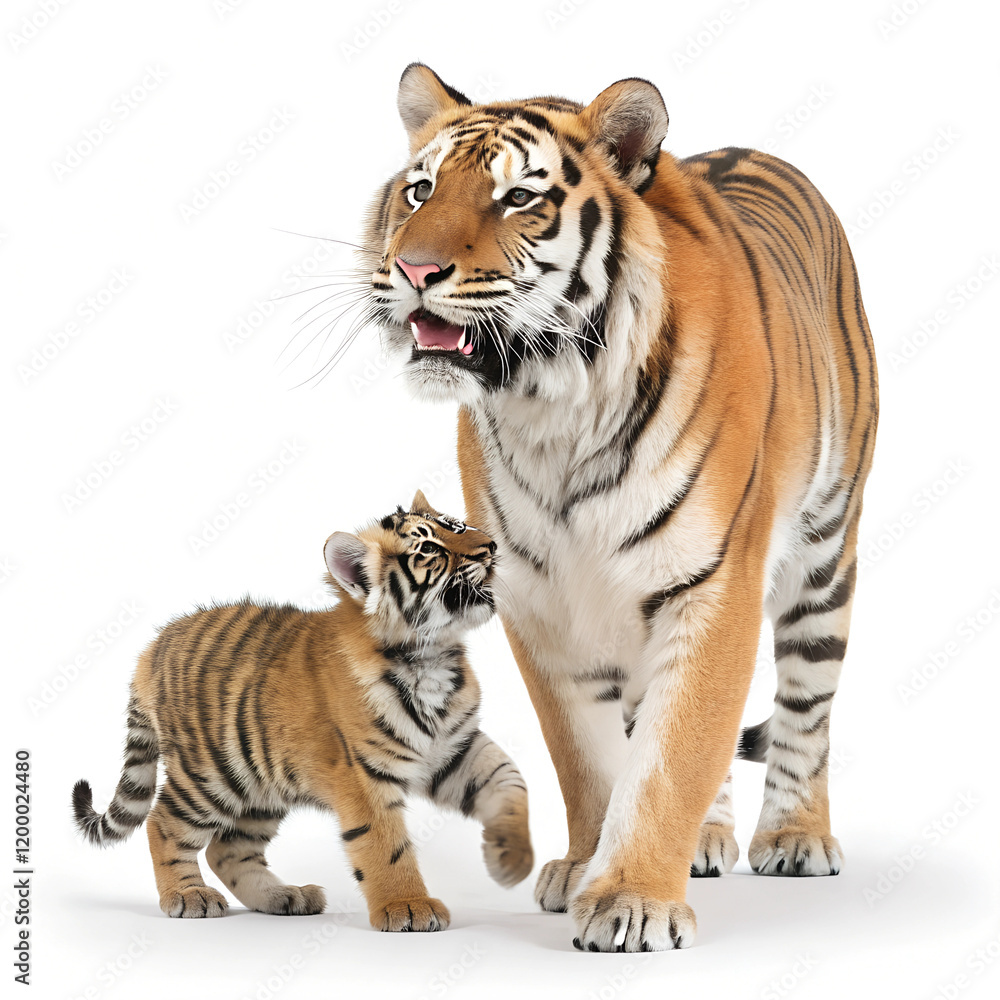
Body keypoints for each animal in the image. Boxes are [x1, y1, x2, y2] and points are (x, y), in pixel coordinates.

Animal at [71, 491, 533, 930]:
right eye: (430, 550)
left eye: (460, 527)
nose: (491, 546)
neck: (432, 657)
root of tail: (150, 649)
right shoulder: (364, 774)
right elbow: (385, 846)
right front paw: (408, 906)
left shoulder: (456, 749)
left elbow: (512, 782)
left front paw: (511, 859)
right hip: (208, 775)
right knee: (163, 823)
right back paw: (188, 896)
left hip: (260, 785)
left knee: (228, 847)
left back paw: (285, 897)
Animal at [354, 64, 878, 951]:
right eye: (420, 190)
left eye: (517, 199)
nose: (413, 269)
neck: (553, 405)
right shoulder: (539, 598)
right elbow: (592, 758)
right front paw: (585, 869)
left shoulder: (714, 585)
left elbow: (676, 753)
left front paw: (633, 898)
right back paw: (707, 841)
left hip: (824, 551)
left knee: (806, 705)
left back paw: (795, 836)